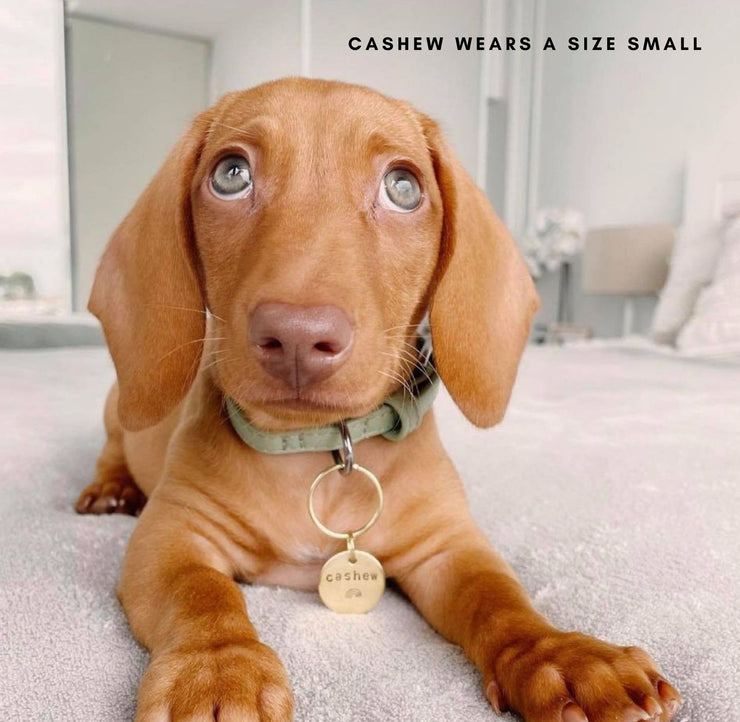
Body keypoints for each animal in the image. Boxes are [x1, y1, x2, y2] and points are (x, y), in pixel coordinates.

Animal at [76, 78, 681, 722]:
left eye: (403, 186)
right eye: (230, 174)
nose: (297, 337)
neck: (320, 448)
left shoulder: (447, 547)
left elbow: (499, 594)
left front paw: (562, 654)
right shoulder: (171, 536)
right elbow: (200, 592)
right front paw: (216, 669)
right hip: (115, 406)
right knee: (111, 448)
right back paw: (111, 488)